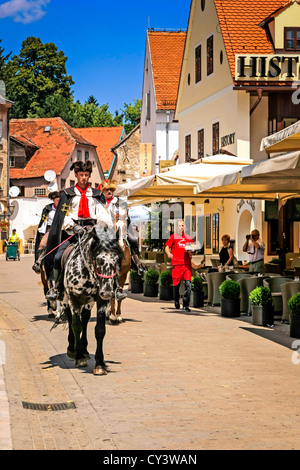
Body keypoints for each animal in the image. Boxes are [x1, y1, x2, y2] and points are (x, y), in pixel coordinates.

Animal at [58, 223, 123, 374]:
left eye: (117, 259)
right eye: (98, 259)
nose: (107, 292)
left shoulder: (100, 301)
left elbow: (99, 330)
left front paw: (99, 364)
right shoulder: (74, 300)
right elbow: (76, 325)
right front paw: (79, 357)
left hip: (89, 302)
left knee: (86, 319)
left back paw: (85, 350)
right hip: (65, 300)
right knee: (70, 318)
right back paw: (72, 349)